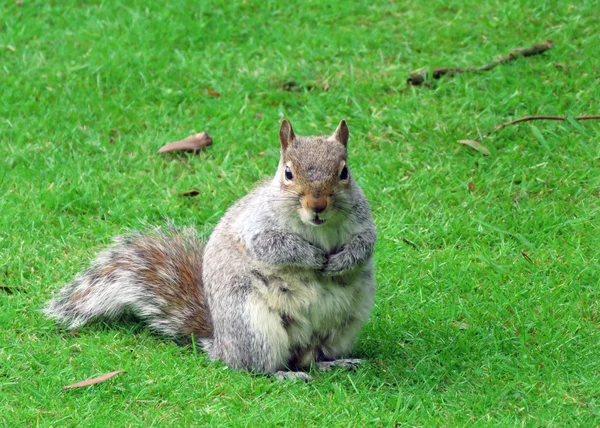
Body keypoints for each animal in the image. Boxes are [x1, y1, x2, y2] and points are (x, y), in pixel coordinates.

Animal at [44, 119, 376, 382]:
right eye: (288, 173)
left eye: (344, 172)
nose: (317, 205)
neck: (317, 227)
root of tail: (220, 344)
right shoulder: (256, 226)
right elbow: (274, 246)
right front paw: (313, 257)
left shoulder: (364, 223)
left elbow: (365, 244)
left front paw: (341, 261)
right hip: (254, 327)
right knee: (256, 367)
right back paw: (284, 374)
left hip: (343, 327)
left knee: (311, 358)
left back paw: (335, 363)